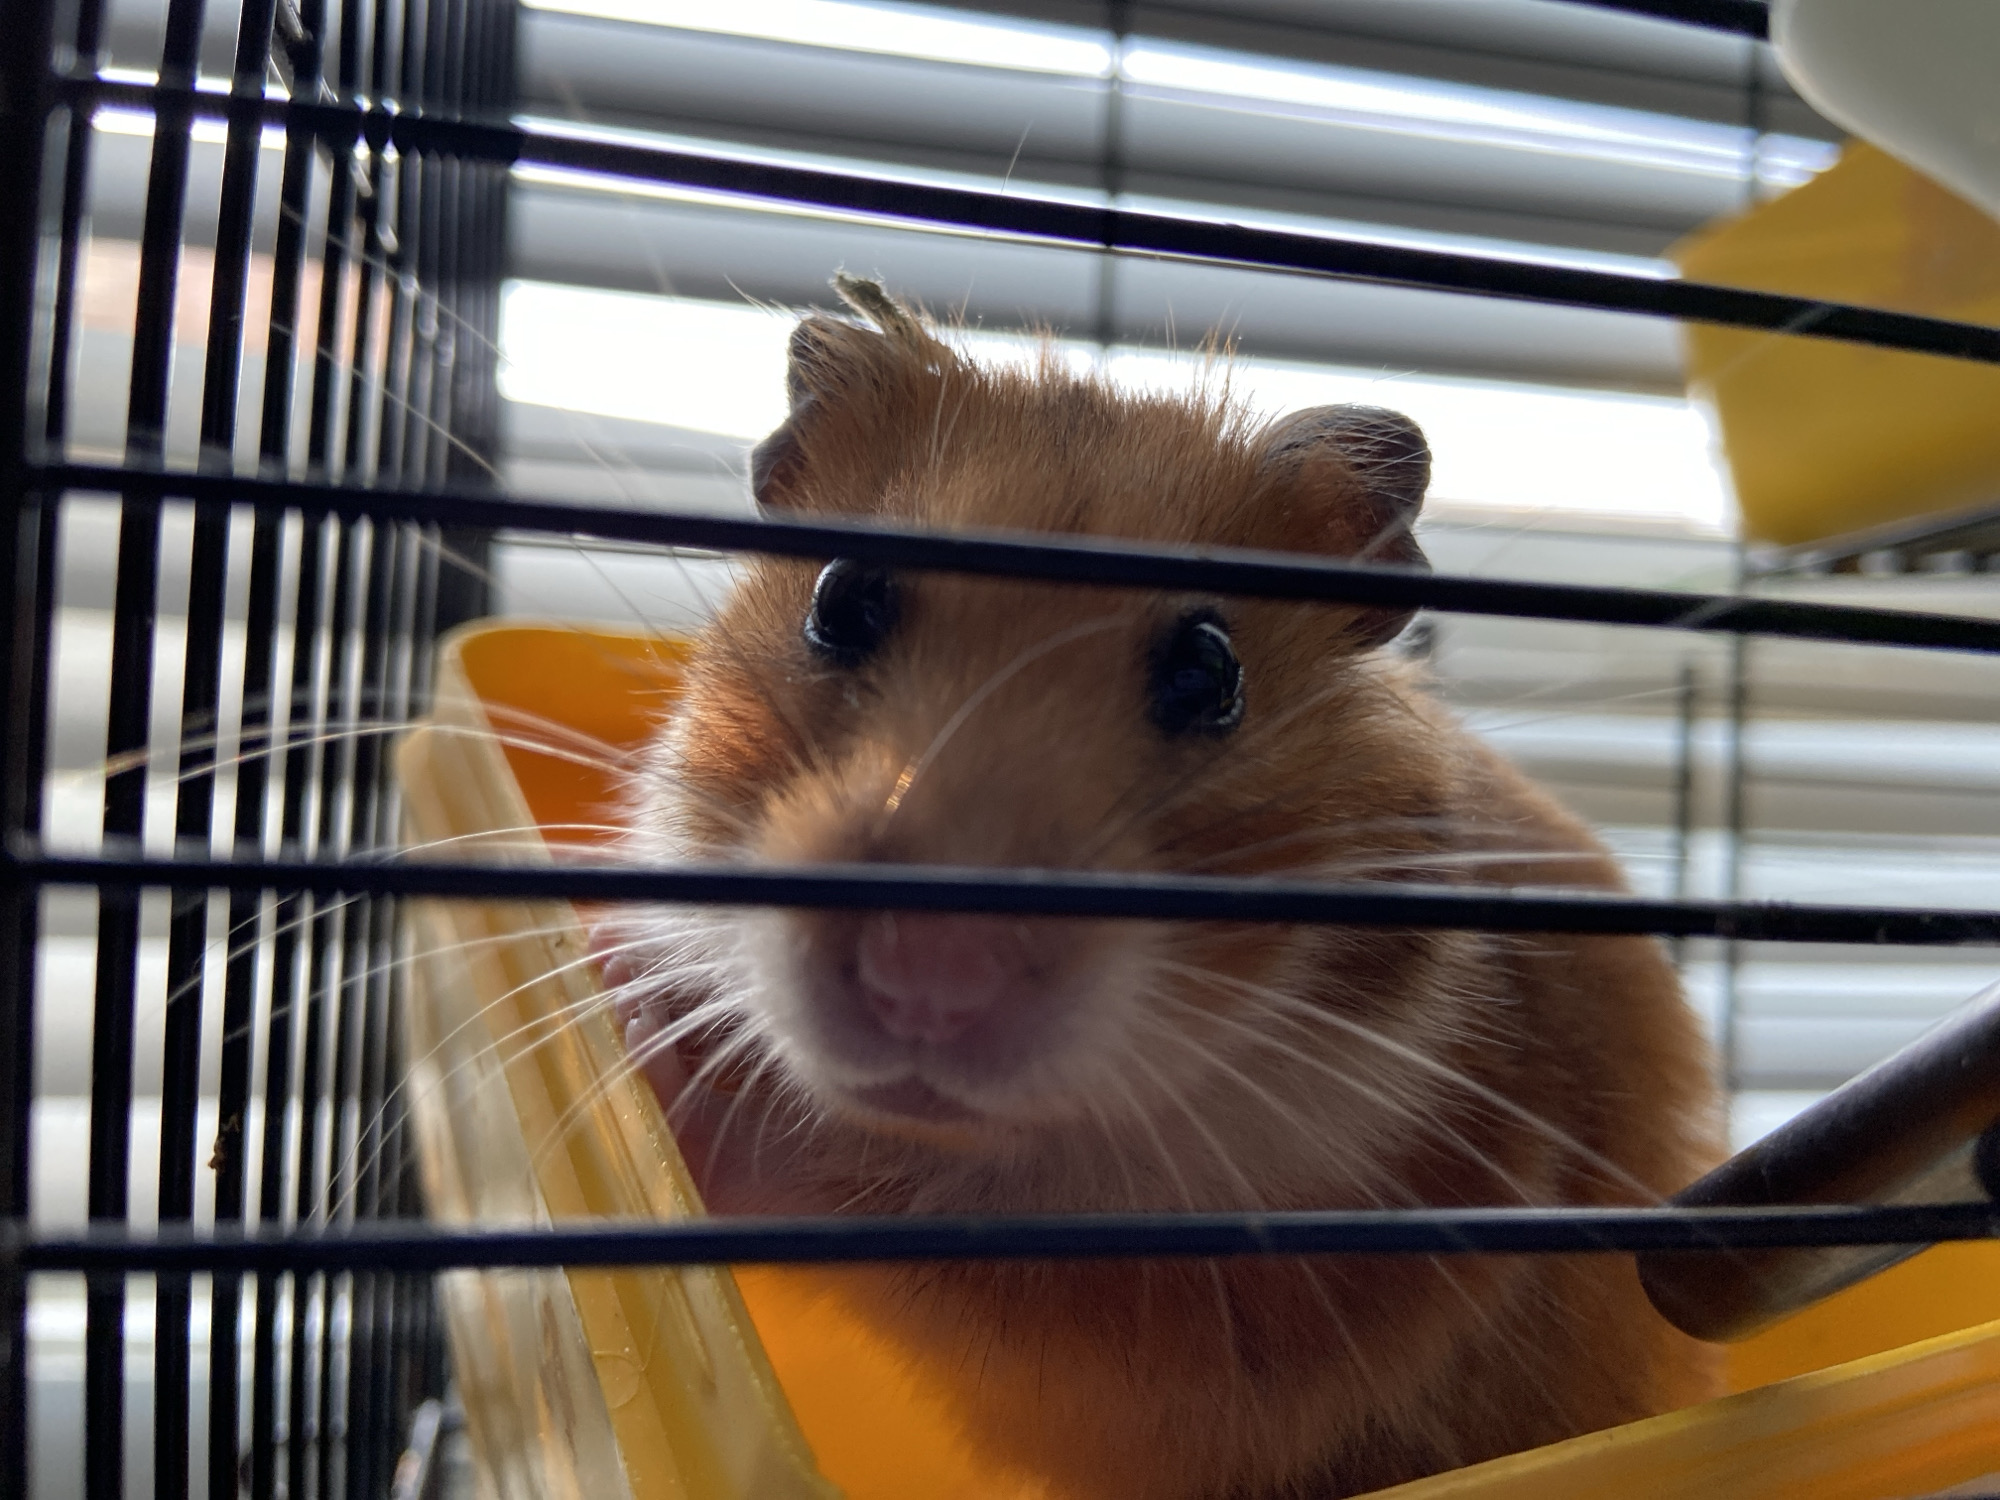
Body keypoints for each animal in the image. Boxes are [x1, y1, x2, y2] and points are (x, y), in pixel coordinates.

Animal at [597, 278, 1724, 1499]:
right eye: (840, 601)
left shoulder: (1233, 1320)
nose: (930, 975)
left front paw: (672, 1060)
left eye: (1209, 670)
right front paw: (618, 975)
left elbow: (917, 1247)